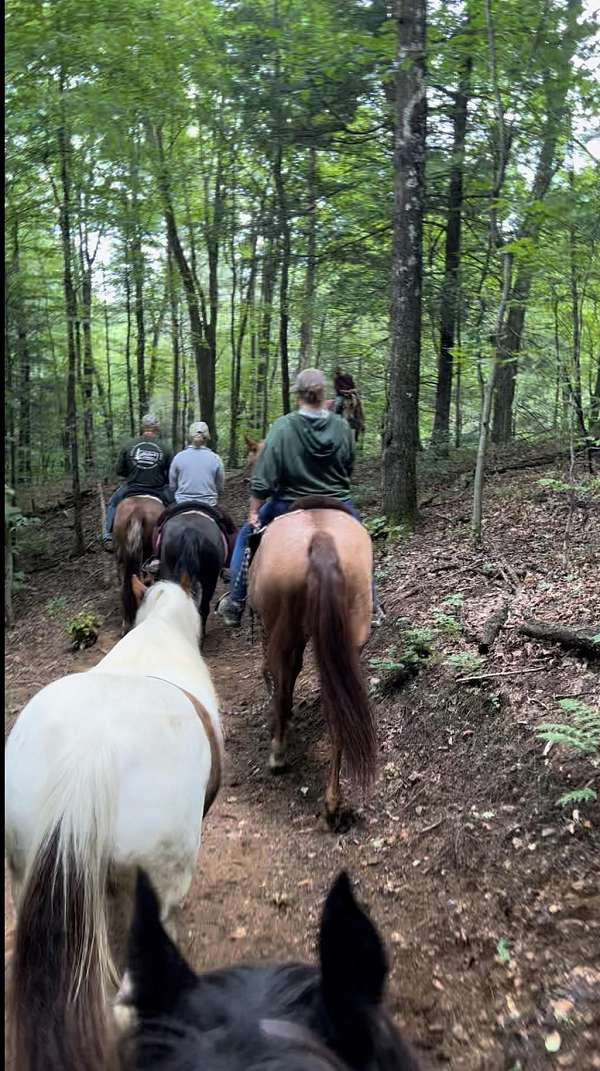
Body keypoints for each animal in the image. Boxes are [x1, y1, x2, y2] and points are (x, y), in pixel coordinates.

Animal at [248, 496, 375, 831]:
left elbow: (279, 678)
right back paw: (332, 804)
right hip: (348, 639)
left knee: (281, 681)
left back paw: (278, 754)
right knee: (339, 715)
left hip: (283, 628)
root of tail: (321, 538)